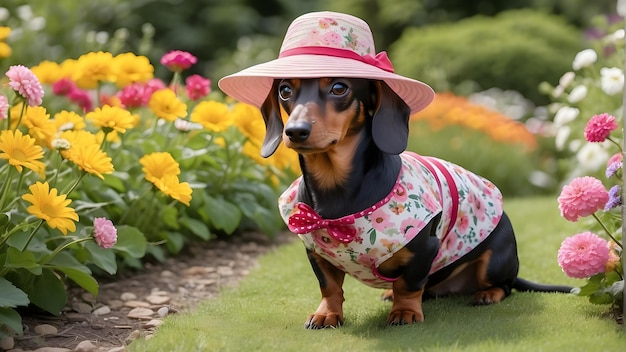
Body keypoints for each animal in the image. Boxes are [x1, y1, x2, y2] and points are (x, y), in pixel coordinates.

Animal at [255, 78, 572, 328]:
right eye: (285, 90)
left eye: (339, 87)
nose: (295, 131)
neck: (336, 189)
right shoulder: (316, 253)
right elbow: (329, 287)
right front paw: (327, 314)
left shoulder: (425, 249)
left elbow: (409, 285)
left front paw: (405, 312)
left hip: (495, 260)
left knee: (504, 286)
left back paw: (487, 294)